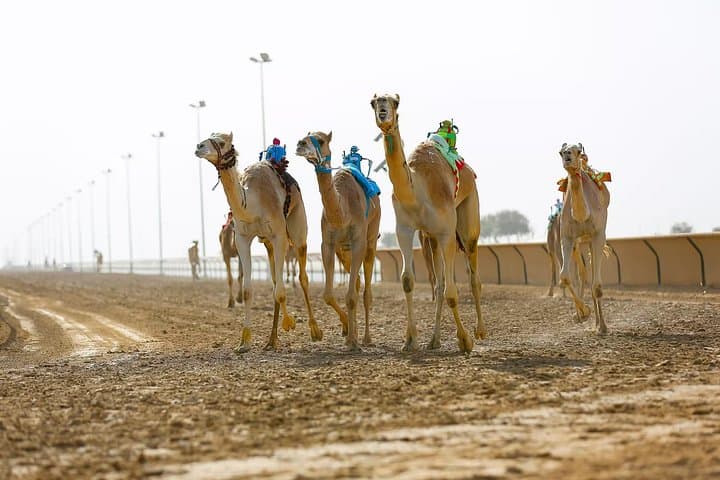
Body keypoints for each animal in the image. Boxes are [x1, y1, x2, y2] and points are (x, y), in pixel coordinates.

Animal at [195, 132, 322, 352]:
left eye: (221, 142)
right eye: (209, 136)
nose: (199, 147)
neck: (252, 202)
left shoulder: (279, 236)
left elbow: (281, 291)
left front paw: (290, 323)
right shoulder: (242, 239)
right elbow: (249, 290)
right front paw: (244, 341)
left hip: (298, 230)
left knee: (302, 277)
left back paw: (315, 330)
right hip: (267, 243)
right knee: (275, 280)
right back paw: (271, 340)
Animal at [295, 131, 381, 350]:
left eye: (320, 139)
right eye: (305, 136)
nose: (300, 144)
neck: (342, 212)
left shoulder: (359, 241)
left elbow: (351, 295)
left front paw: (352, 341)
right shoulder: (328, 244)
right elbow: (328, 295)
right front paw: (347, 331)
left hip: (370, 241)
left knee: (366, 292)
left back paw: (366, 338)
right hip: (344, 251)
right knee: (357, 283)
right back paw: (356, 332)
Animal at [371, 94, 485, 353]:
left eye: (395, 102)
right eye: (373, 102)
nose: (383, 113)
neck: (417, 191)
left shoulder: (446, 233)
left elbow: (452, 291)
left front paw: (465, 341)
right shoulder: (404, 230)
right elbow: (408, 281)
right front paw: (410, 340)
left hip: (468, 219)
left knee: (473, 277)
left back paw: (481, 331)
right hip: (431, 238)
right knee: (439, 283)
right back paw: (435, 340)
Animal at [558, 143, 610, 334]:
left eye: (578, 151)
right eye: (560, 152)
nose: (567, 156)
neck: (582, 215)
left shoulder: (598, 235)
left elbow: (597, 285)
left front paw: (602, 327)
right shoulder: (567, 236)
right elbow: (565, 277)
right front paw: (583, 313)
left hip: (591, 239)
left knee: (593, 272)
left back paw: (598, 323)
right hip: (579, 242)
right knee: (582, 274)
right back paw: (583, 316)